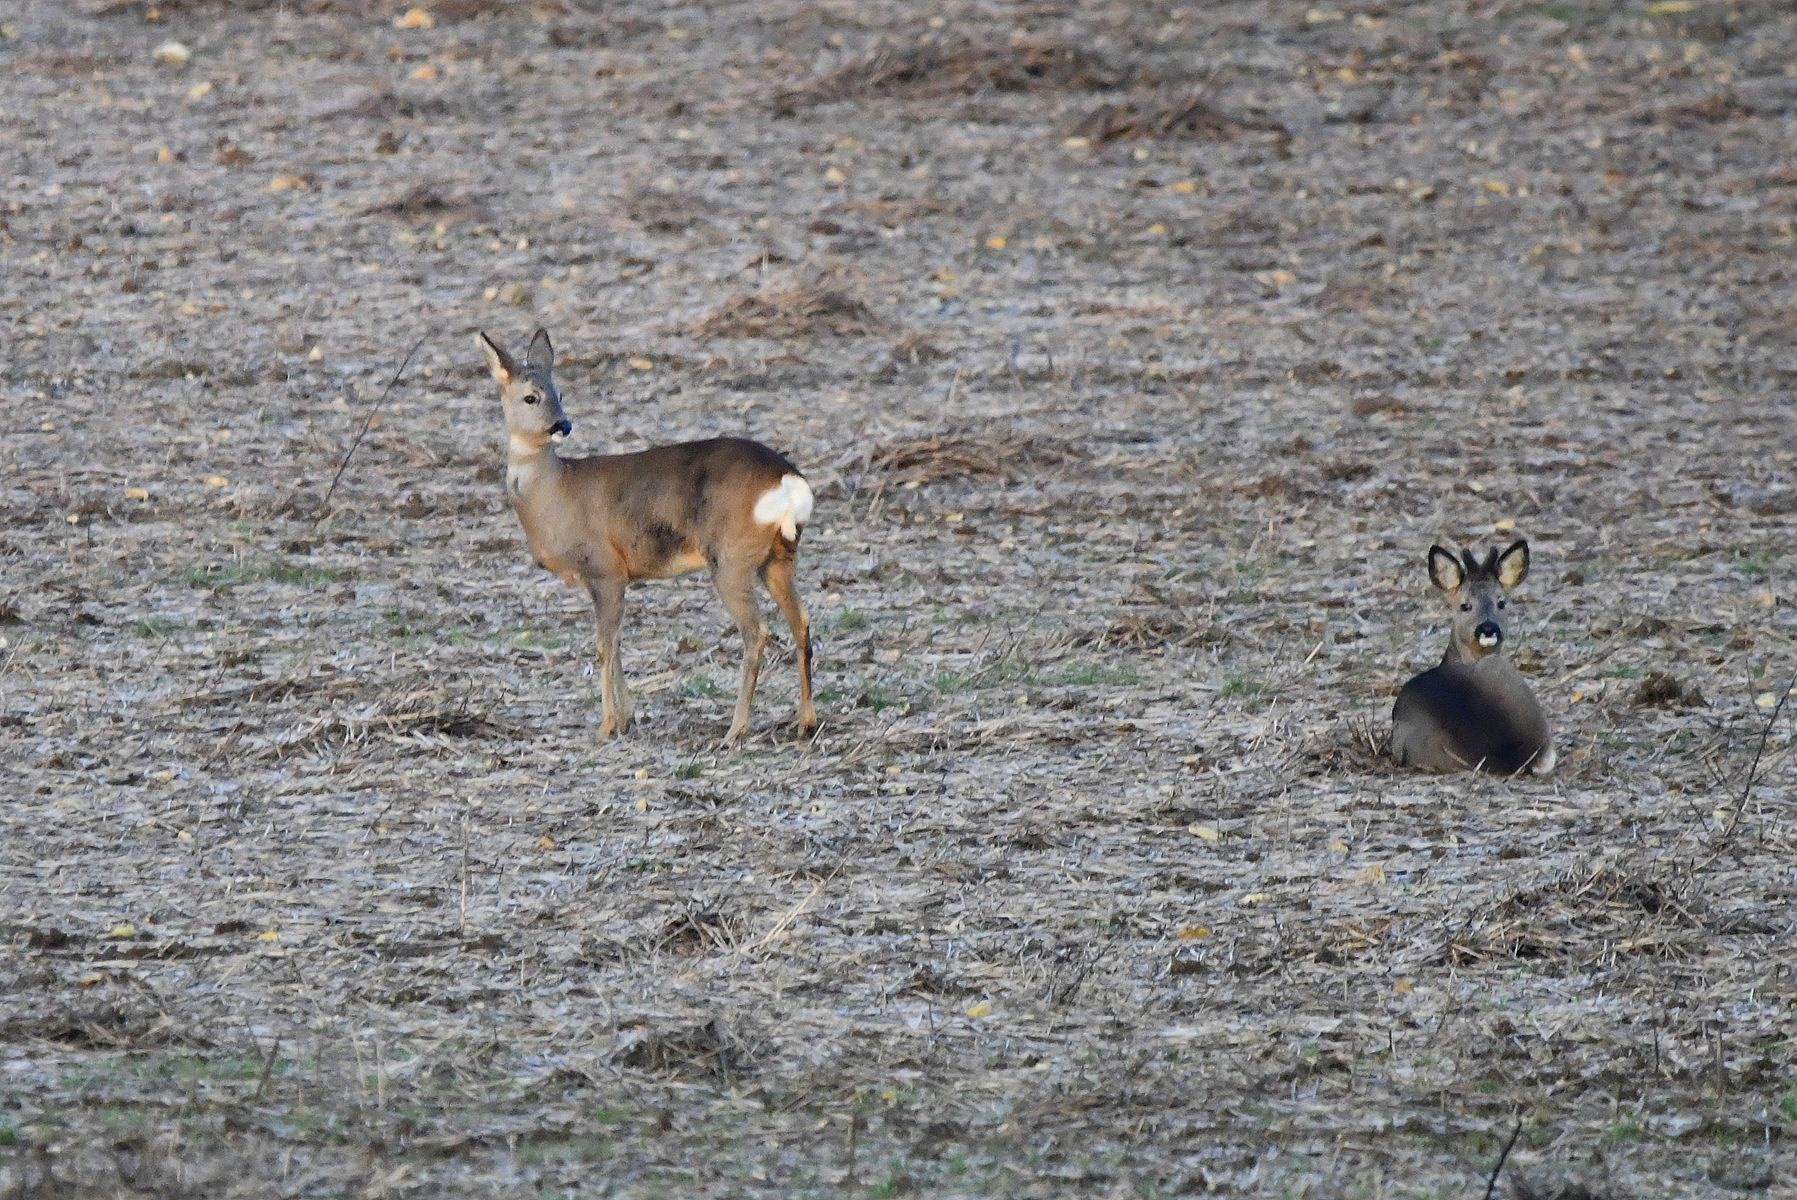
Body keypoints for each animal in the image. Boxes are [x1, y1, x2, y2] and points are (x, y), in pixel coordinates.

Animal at [478, 325, 815, 740]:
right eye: (532, 396)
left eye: (559, 394)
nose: (563, 425)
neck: (554, 492)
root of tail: (787, 478)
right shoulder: (613, 575)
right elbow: (618, 642)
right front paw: (627, 718)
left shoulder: (604, 568)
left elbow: (604, 646)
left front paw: (607, 724)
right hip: (778, 556)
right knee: (801, 621)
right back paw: (805, 721)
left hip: (730, 556)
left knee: (757, 630)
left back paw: (735, 730)